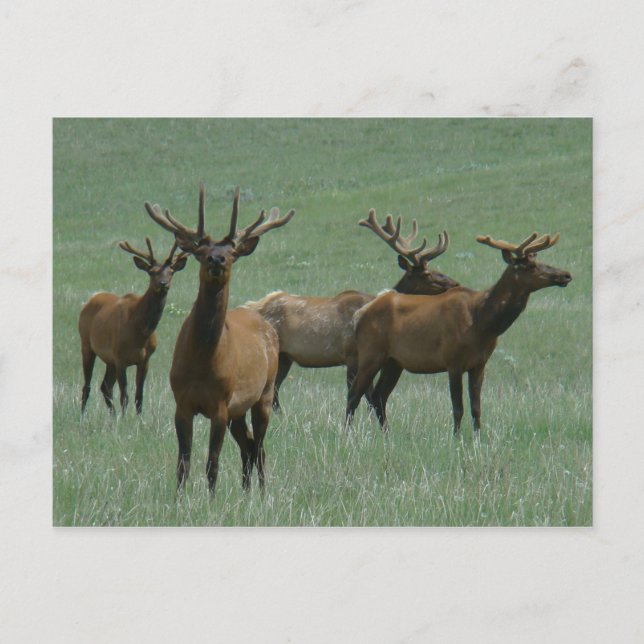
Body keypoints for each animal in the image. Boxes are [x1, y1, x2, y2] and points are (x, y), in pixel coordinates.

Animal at [79, 238, 188, 415]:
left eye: (171, 271)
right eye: (152, 272)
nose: (163, 283)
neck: (140, 333)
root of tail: (91, 299)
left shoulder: (145, 359)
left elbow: (139, 396)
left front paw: (138, 419)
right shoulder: (120, 357)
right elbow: (125, 395)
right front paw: (124, 418)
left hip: (109, 359)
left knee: (105, 386)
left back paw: (112, 416)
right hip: (86, 344)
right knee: (87, 386)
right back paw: (83, 416)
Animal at [144, 185, 294, 493]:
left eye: (232, 252)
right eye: (201, 251)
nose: (217, 259)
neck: (202, 361)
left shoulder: (220, 405)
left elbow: (212, 463)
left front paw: (211, 499)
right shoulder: (182, 403)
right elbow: (183, 463)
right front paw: (178, 498)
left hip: (264, 393)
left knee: (260, 447)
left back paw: (262, 493)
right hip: (239, 408)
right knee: (248, 446)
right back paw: (246, 492)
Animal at [244, 208, 459, 412]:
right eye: (426, 274)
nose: (455, 283)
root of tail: (251, 306)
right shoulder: (353, 355)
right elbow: (365, 396)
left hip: (285, 357)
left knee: (275, 393)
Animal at [345, 232, 572, 434]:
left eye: (539, 260)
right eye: (530, 266)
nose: (566, 275)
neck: (484, 324)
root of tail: (359, 314)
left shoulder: (479, 363)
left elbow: (476, 408)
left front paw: (478, 439)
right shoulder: (453, 360)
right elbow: (458, 408)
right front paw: (456, 439)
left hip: (394, 362)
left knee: (379, 396)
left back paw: (386, 435)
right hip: (370, 353)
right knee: (354, 394)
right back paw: (348, 435)